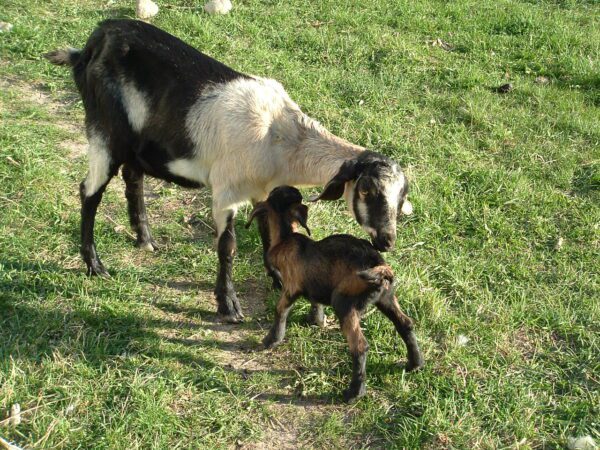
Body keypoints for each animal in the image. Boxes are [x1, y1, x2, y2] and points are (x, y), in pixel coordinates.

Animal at [45, 20, 412, 324]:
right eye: (366, 189)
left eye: (400, 198)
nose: (387, 240)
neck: (280, 135)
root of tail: (91, 43)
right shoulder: (225, 189)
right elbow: (227, 246)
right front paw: (228, 306)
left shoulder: (264, 190)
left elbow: (269, 232)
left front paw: (277, 278)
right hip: (105, 130)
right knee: (89, 191)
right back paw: (95, 266)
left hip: (138, 141)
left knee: (132, 178)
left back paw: (145, 240)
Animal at [246, 185, 424, 402]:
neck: (286, 238)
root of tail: (379, 267)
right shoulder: (315, 283)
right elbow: (316, 302)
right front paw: (315, 321)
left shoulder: (291, 287)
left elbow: (280, 311)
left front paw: (271, 340)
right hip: (387, 298)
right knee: (405, 324)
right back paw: (415, 364)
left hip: (344, 303)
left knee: (360, 346)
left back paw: (354, 393)